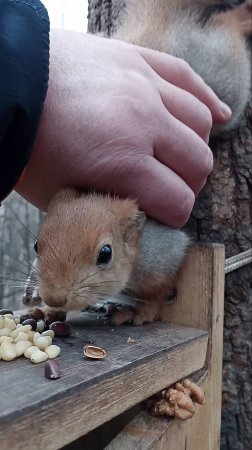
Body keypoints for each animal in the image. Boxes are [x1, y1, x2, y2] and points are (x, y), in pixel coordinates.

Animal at [23, 0, 250, 324]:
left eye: (105, 254)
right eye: (36, 245)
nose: (55, 296)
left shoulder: (166, 252)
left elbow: (162, 288)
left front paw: (142, 311)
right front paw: (46, 310)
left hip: (227, 82)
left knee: (228, 28)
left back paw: (243, 17)